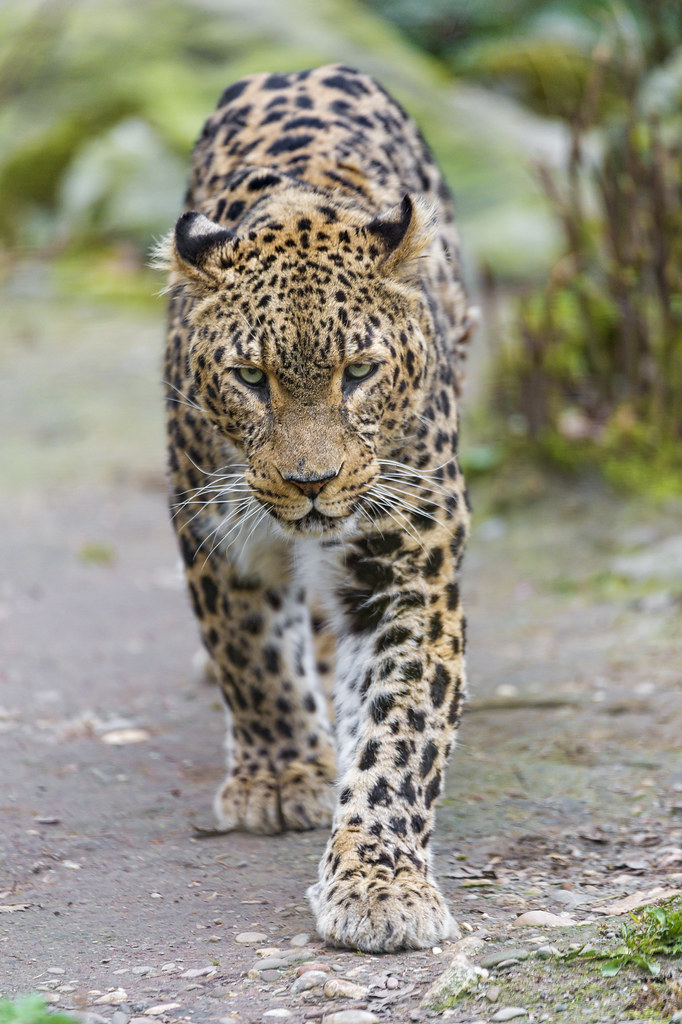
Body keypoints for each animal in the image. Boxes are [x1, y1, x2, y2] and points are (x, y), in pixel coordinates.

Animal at [158, 63, 477, 953]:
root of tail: (293, 67)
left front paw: (381, 882)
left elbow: (401, 730)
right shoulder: (215, 526)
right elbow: (251, 653)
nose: (311, 481)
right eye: (251, 378)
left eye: (359, 372)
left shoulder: (408, 565)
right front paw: (280, 776)